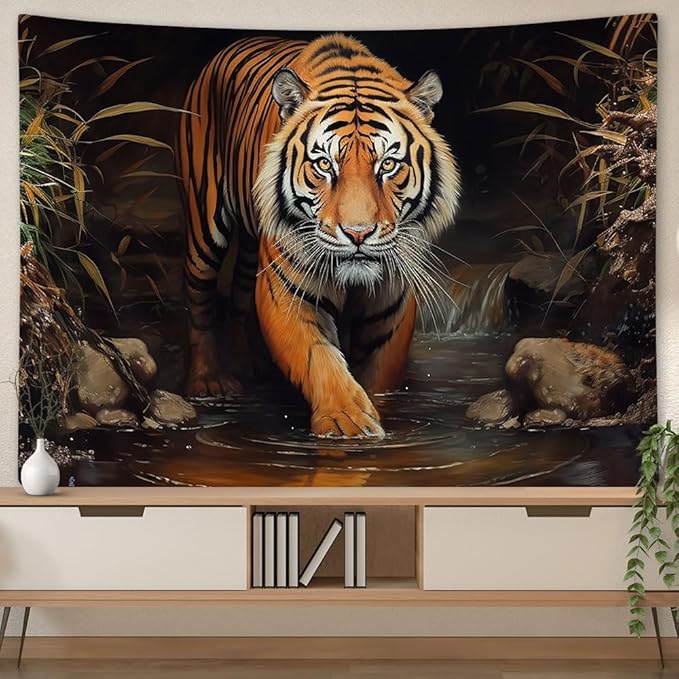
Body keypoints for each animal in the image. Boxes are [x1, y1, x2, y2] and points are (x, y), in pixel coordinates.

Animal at [177, 33, 461, 439]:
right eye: (325, 165)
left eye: (388, 165)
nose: (358, 233)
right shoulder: (289, 291)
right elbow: (319, 358)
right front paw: (348, 422)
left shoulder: (391, 303)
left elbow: (379, 375)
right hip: (205, 226)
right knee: (199, 302)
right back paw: (206, 382)